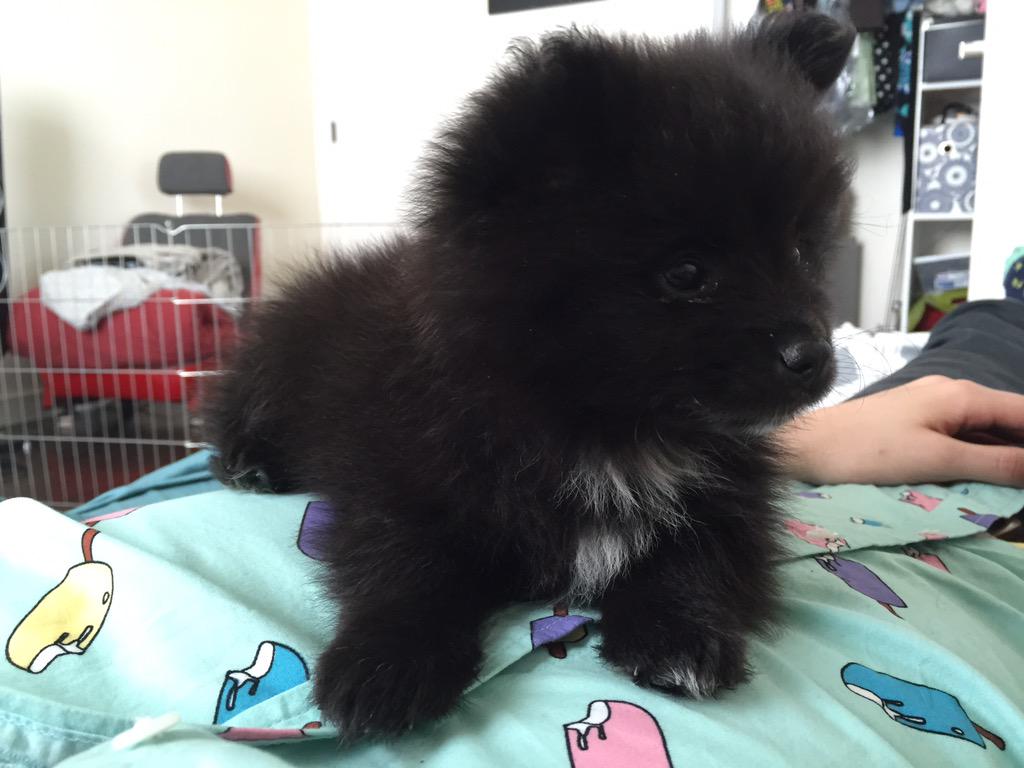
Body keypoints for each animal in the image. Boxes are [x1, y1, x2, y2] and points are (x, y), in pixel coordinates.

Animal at [206, 12, 854, 739]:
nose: (813, 355)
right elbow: (401, 557)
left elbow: (704, 552)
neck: (607, 431)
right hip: (278, 361)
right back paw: (248, 462)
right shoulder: (401, 467)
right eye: (686, 274)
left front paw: (680, 631)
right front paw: (388, 658)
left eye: (801, 250)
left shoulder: (731, 495)